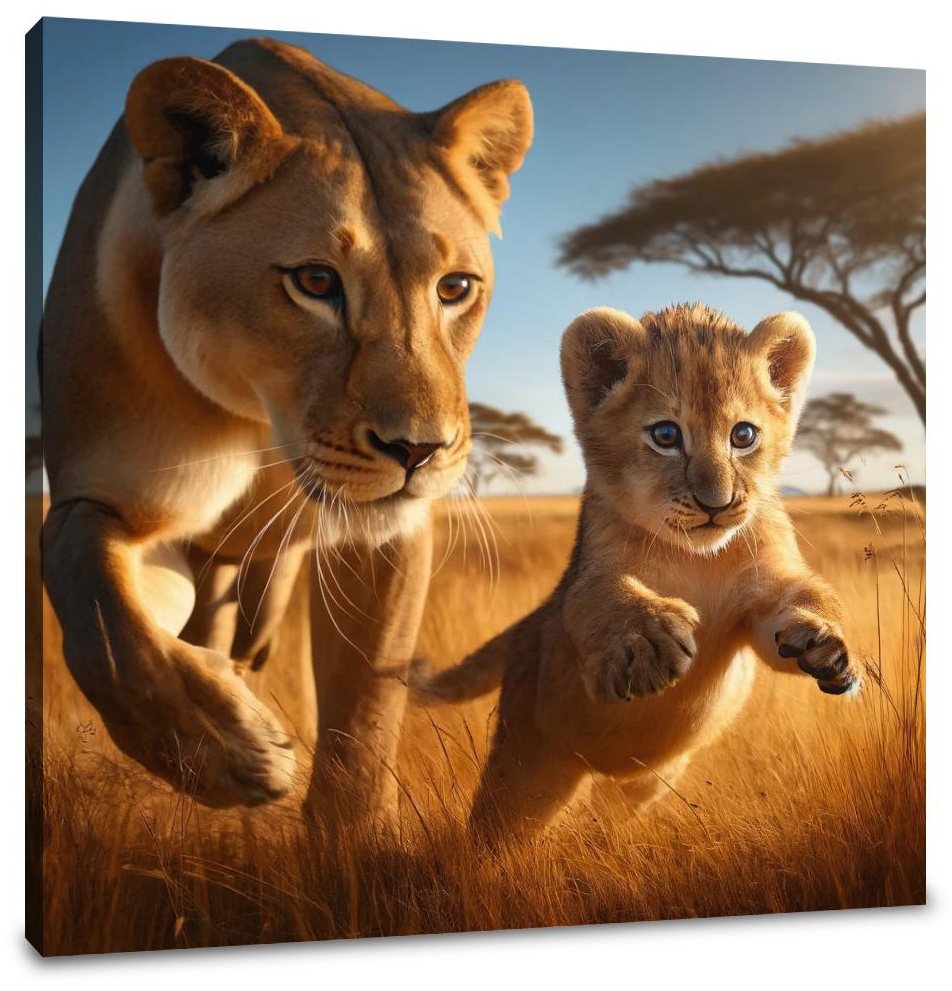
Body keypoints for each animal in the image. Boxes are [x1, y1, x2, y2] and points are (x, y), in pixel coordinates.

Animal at [41, 37, 533, 819]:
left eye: (455, 287)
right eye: (316, 281)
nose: (418, 450)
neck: (258, 417)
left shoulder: (384, 537)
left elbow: (364, 726)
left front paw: (350, 845)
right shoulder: (114, 496)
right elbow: (99, 612)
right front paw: (230, 752)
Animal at [411, 304, 863, 840]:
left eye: (744, 435)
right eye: (665, 436)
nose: (717, 504)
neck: (696, 557)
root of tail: (530, 623)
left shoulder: (763, 592)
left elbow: (800, 603)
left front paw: (826, 645)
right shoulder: (586, 582)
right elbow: (604, 596)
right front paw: (646, 643)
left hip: (648, 781)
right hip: (525, 763)